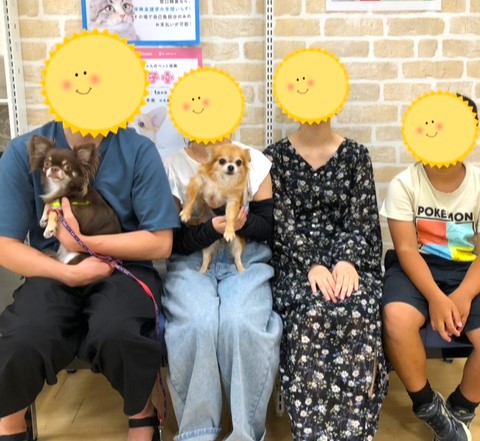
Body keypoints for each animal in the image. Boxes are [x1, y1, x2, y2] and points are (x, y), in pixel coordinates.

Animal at [28, 134, 122, 264]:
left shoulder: (75, 211)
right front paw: (43, 218)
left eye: (67, 167)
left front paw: (49, 228)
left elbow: (55, 210)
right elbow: (51, 203)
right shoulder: (58, 197)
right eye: (47, 164)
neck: (62, 187)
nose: (54, 168)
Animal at [180, 143, 251, 274]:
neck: (222, 181)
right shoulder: (198, 182)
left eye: (239, 162)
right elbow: (191, 200)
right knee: (206, 258)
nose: (231, 167)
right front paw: (186, 213)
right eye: (222, 161)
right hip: (207, 244)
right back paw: (202, 272)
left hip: (237, 243)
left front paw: (229, 230)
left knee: (237, 257)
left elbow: (230, 216)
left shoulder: (232, 200)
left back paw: (241, 269)